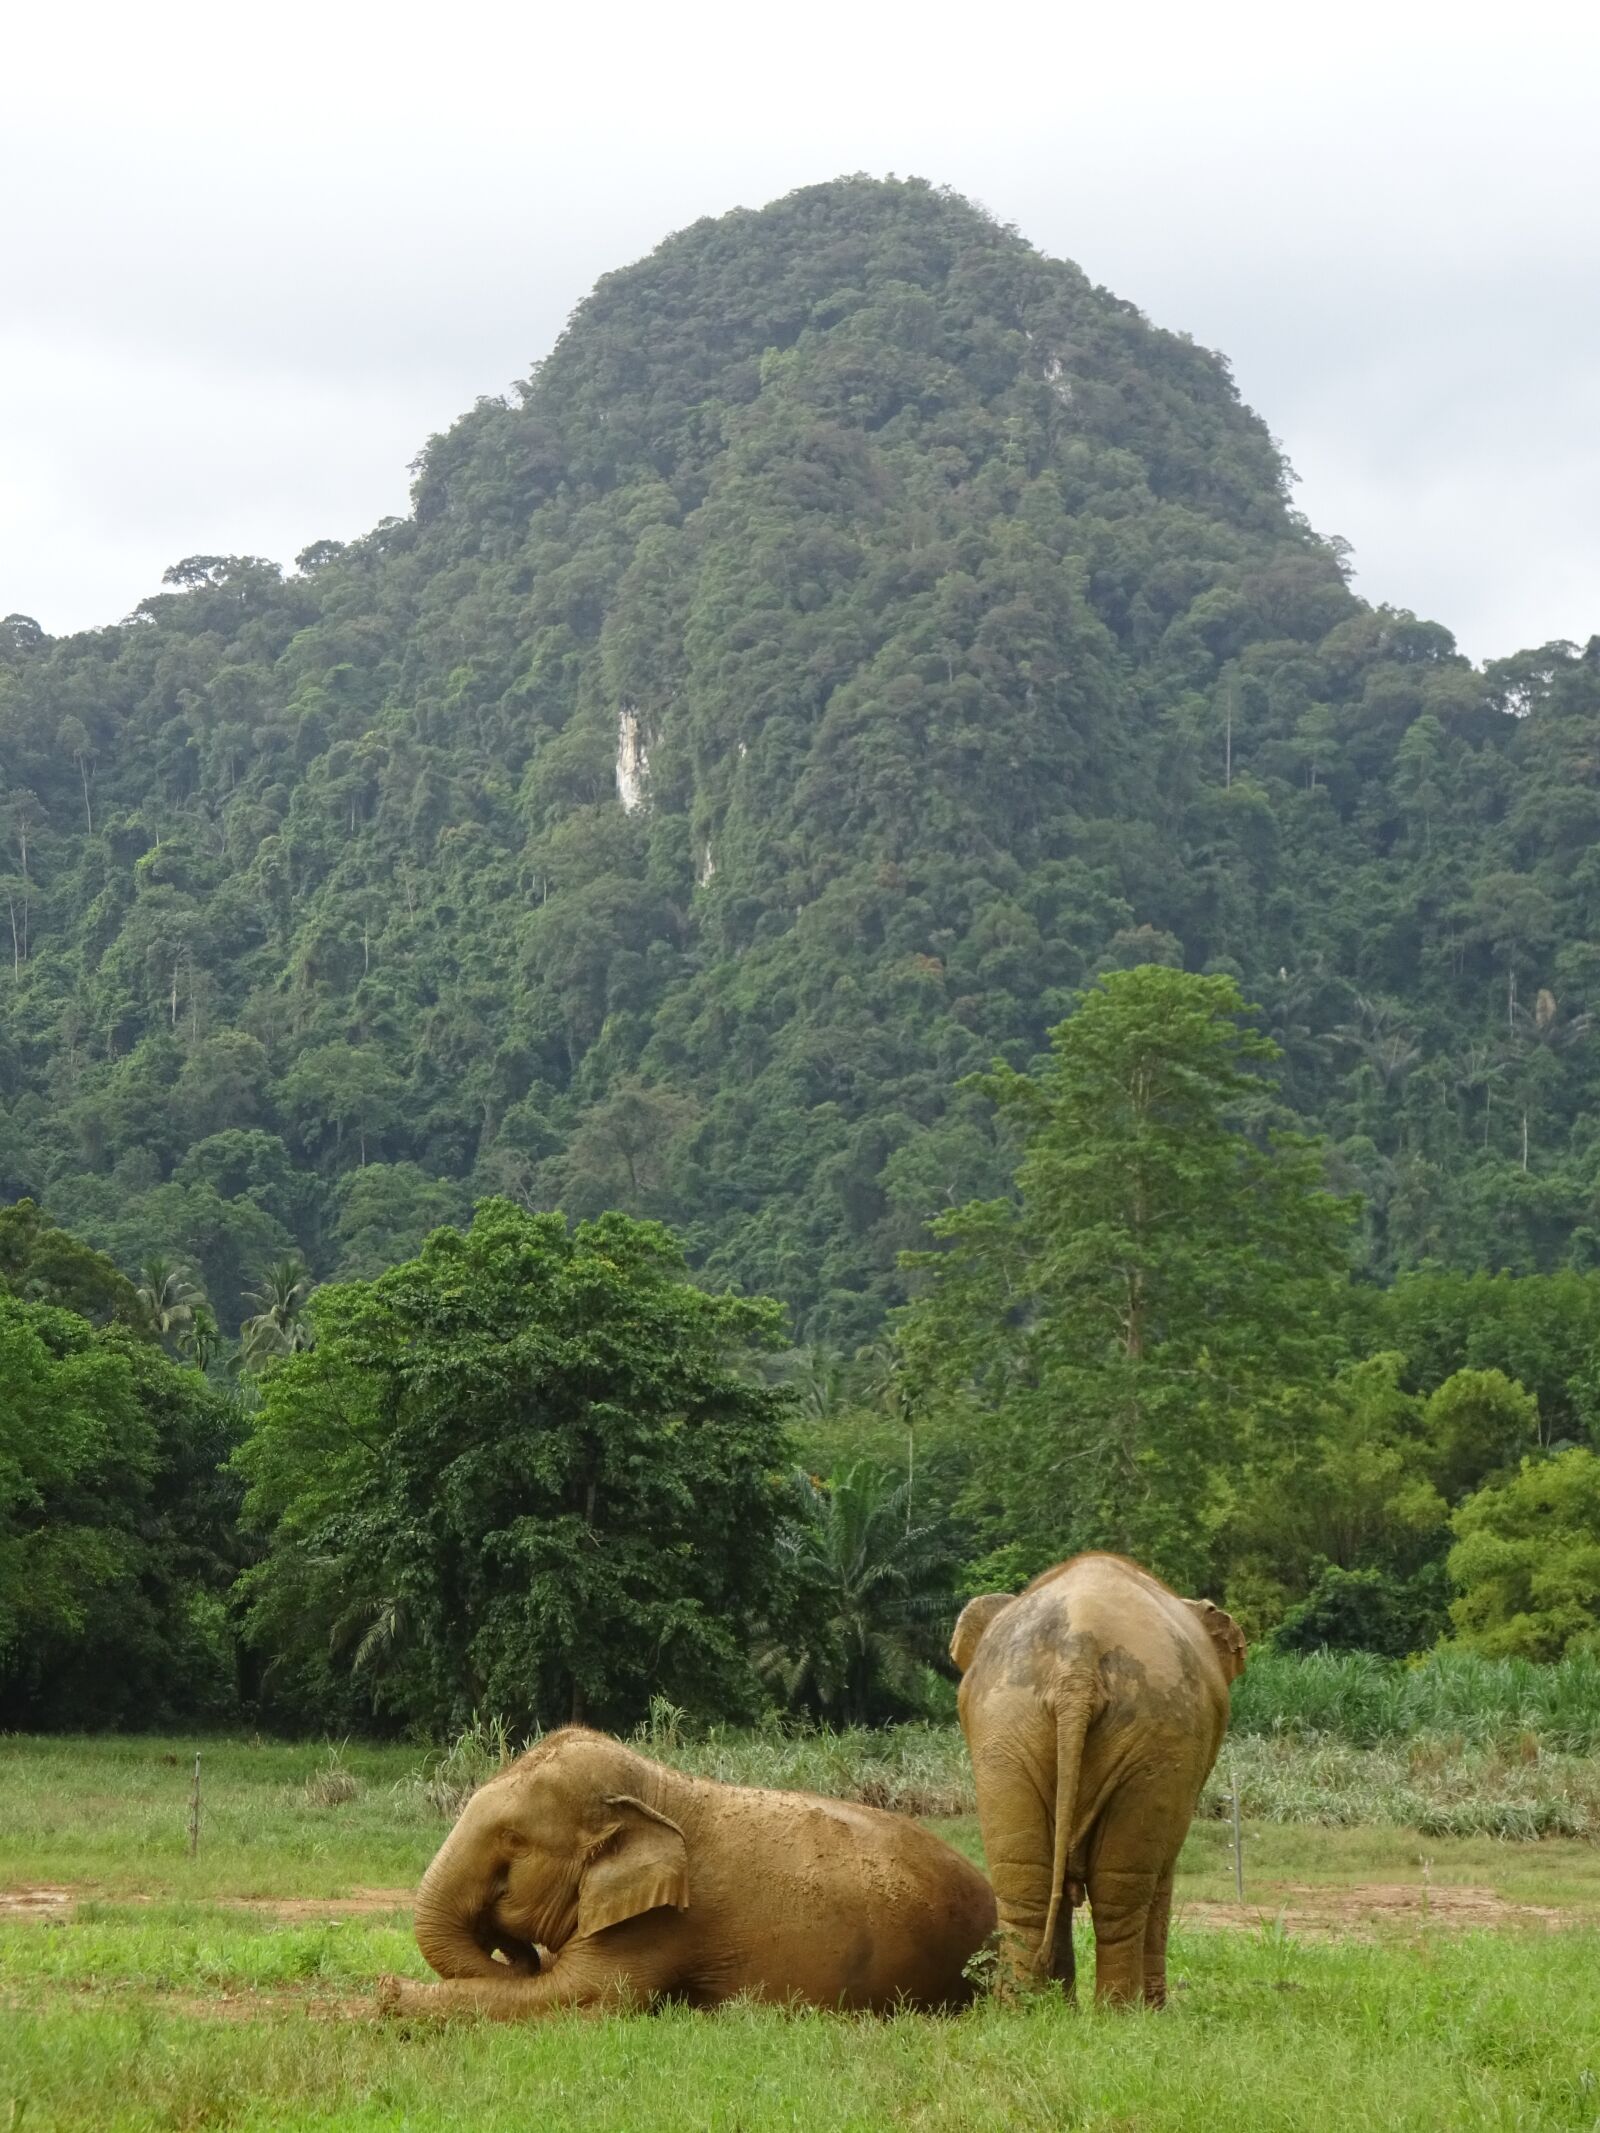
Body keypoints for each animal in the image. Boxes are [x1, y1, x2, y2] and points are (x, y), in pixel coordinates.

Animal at [381, 1725, 997, 2018]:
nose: (513, 1948)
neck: (658, 1788)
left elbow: (578, 1995)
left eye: (513, 1840)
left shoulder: (658, 1925)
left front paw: (388, 1997)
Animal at [950, 1552, 1246, 2007]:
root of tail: (1077, 1663)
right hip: (1152, 1737)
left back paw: (1028, 2010)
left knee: (1027, 1885)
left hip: (1007, 1727)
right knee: (1121, 1891)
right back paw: (1120, 2013)